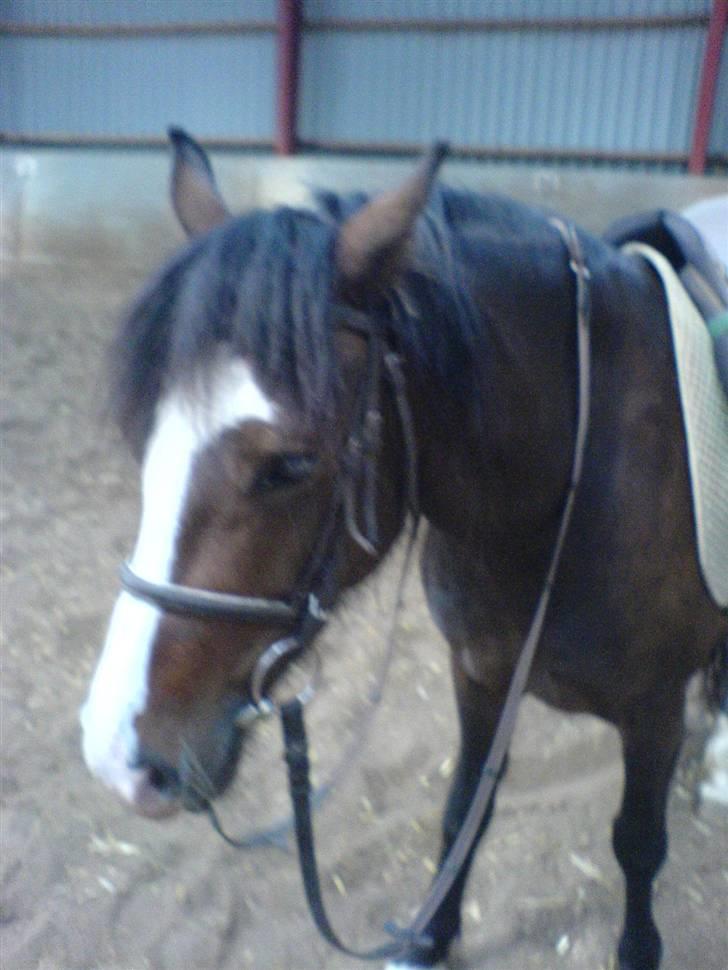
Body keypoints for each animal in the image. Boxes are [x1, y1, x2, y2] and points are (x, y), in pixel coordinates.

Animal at [81, 129, 728, 970]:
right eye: (143, 439)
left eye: (289, 465)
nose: (118, 756)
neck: (577, 478)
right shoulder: (479, 674)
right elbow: (463, 811)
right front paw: (431, 935)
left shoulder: (653, 711)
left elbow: (638, 844)